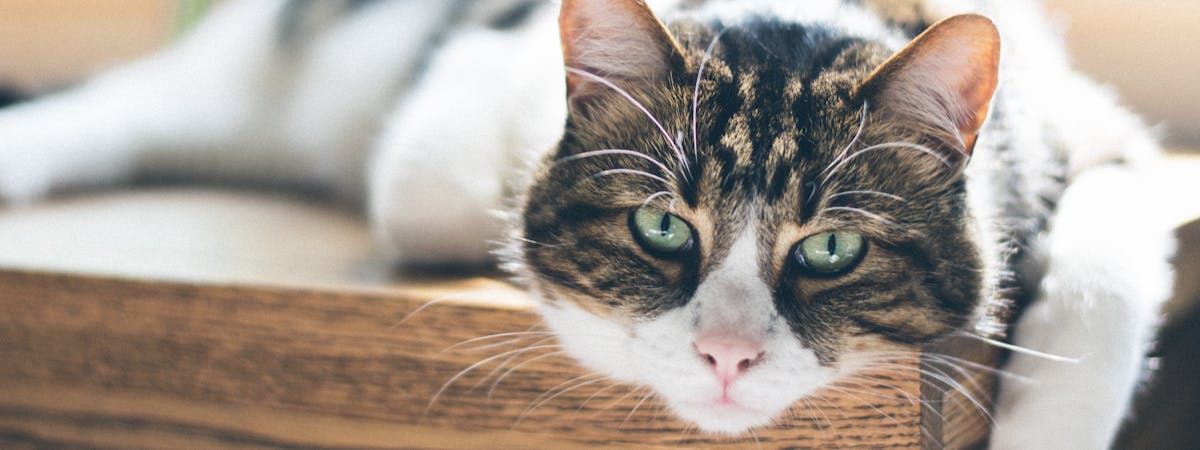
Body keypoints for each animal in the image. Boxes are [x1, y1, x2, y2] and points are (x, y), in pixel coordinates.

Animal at [0, 0, 1171, 448]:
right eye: (663, 231)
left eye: (832, 248)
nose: (727, 354)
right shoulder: (457, 104)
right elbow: (455, 190)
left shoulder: (1103, 132)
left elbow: (1109, 275)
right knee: (115, 107)